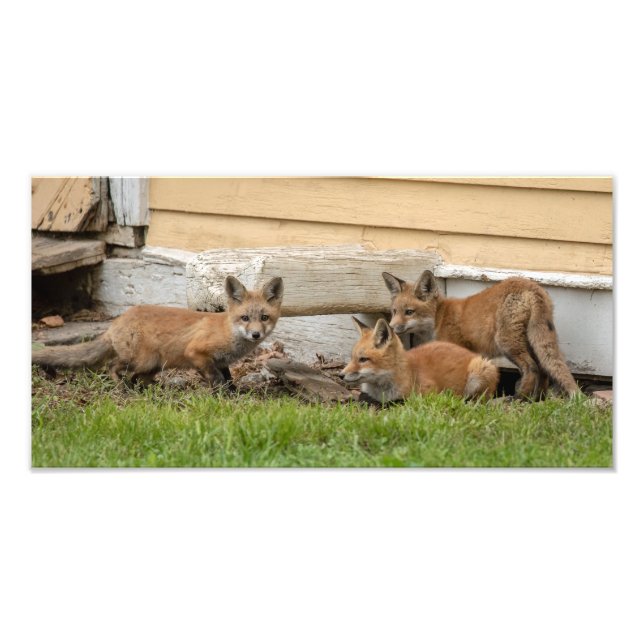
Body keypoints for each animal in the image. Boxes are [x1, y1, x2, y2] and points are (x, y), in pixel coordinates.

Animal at [32, 275, 284, 388]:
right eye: (245, 318)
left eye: (264, 318)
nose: (256, 335)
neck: (228, 330)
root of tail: (116, 323)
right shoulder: (197, 353)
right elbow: (215, 379)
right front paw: (221, 394)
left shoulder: (221, 361)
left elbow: (228, 379)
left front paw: (231, 393)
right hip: (141, 360)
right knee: (113, 366)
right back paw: (121, 387)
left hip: (152, 366)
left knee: (136, 378)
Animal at [341, 317, 499, 403]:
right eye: (352, 358)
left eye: (363, 359)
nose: (340, 375)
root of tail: (470, 352)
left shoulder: (430, 395)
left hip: (479, 371)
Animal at [382, 270, 579, 398]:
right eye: (394, 311)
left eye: (409, 312)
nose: (390, 327)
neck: (439, 317)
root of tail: (531, 286)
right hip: (531, 341)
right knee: (544, 368)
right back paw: (536, 399)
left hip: (507, 343)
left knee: (532, 368)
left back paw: (520, 397)